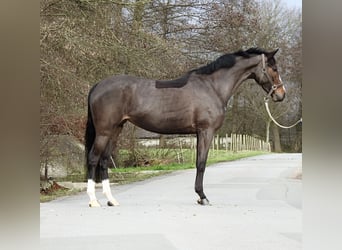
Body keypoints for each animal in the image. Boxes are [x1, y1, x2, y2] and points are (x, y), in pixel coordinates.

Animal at [84, 47, 284, 207]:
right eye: (274, 68)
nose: (281, 94)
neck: (212, 87)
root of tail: (97, 86)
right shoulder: (206, 131)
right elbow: (201, 164)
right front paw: (202, 197)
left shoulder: (199, 133)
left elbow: (199, 162)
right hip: (104, 132)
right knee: (93, 158)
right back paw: (93, 201)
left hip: (116, 129)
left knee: (104, 160)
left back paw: (111, 200)